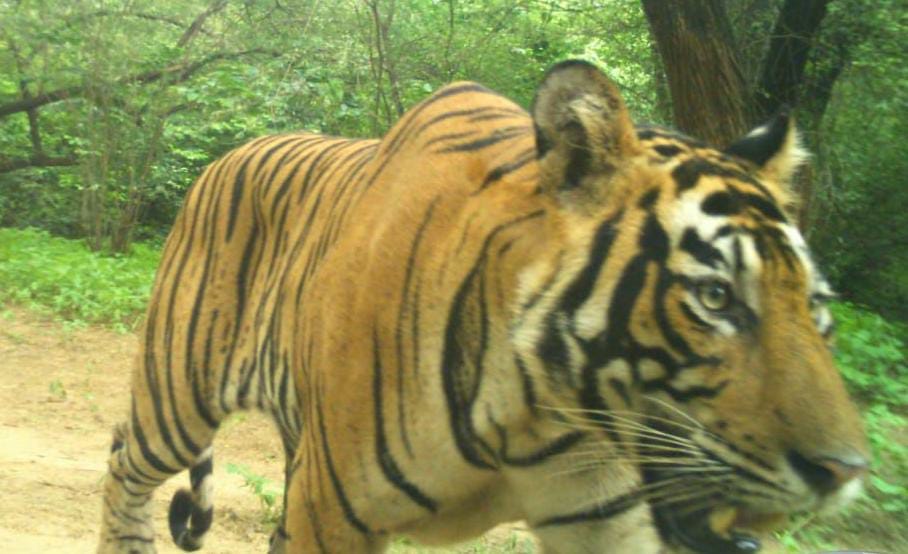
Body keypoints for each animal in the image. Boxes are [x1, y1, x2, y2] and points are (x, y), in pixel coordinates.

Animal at [97, 60, 868, 554]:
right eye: (715, 297)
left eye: (814, 305)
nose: (844, 473)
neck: (532, 408)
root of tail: (229, 153)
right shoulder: (335, 511)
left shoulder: (605, 520)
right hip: (178, 392)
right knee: (122, 459)